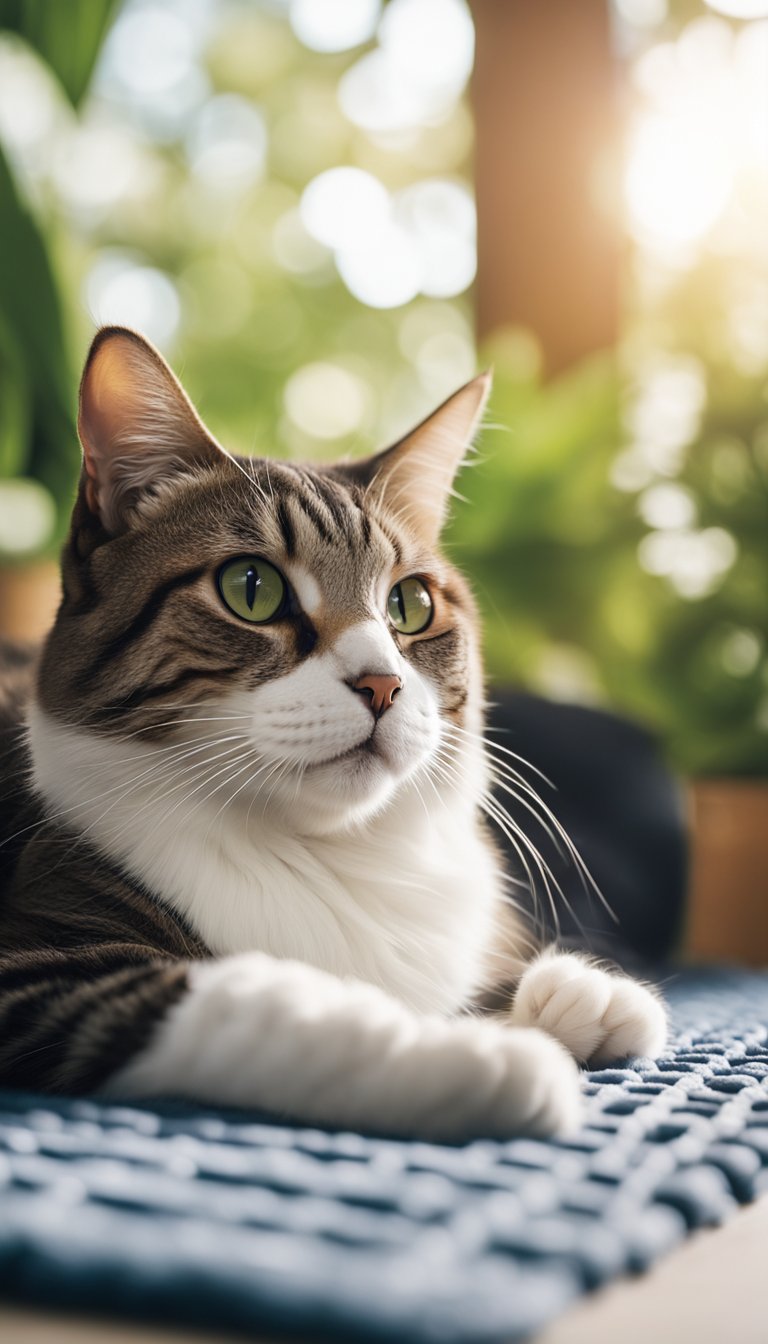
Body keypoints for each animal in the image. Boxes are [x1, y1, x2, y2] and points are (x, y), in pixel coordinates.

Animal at [0, 325, 667, 1134]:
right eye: (251, 588)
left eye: (410, 604)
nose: (382, 684)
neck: (330, 856)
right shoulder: (32, 963)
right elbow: (259, 1006)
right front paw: (477, 1055)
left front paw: (575, 993)